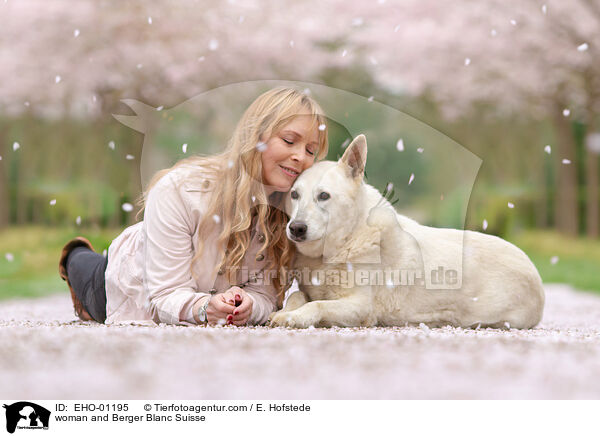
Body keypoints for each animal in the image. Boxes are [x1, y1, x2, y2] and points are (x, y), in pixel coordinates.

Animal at [270, 135, 548, 328]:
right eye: (294, 195)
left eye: (324, 196)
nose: (296, 228)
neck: (348, 239)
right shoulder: (310, 289)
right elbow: (298, 296)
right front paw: (285, 312)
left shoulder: (361, 307)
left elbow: (318, 305)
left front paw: (295, 317)